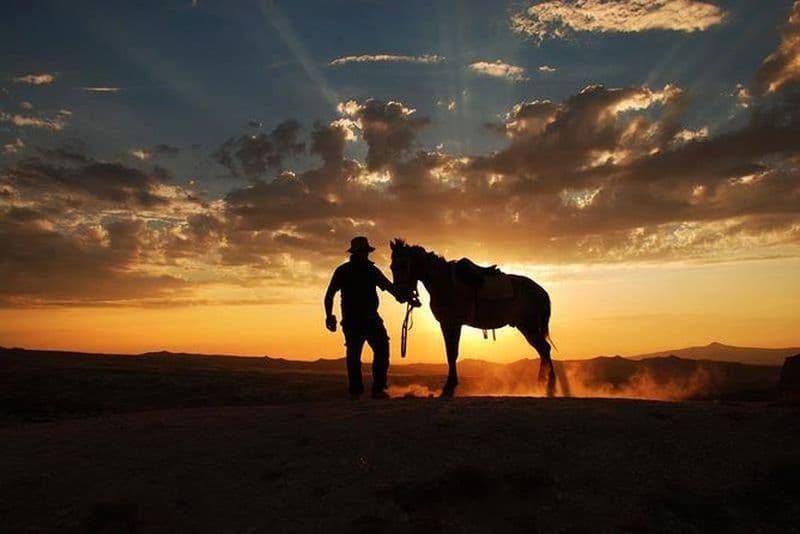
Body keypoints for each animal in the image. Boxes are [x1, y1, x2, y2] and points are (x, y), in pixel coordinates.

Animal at [389, 239, 555, 397]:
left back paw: (550, 386)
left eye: (403, 265)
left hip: (528, 326)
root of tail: (541, 291)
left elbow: (452, 353)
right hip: (527, 326)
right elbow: (450, 353)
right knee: (543, 350)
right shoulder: (447, 324)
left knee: (544, 349)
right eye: (391, 266)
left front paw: (449, 387)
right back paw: (542, 384)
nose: (400, 295)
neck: (444, 282)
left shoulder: (452, 324)